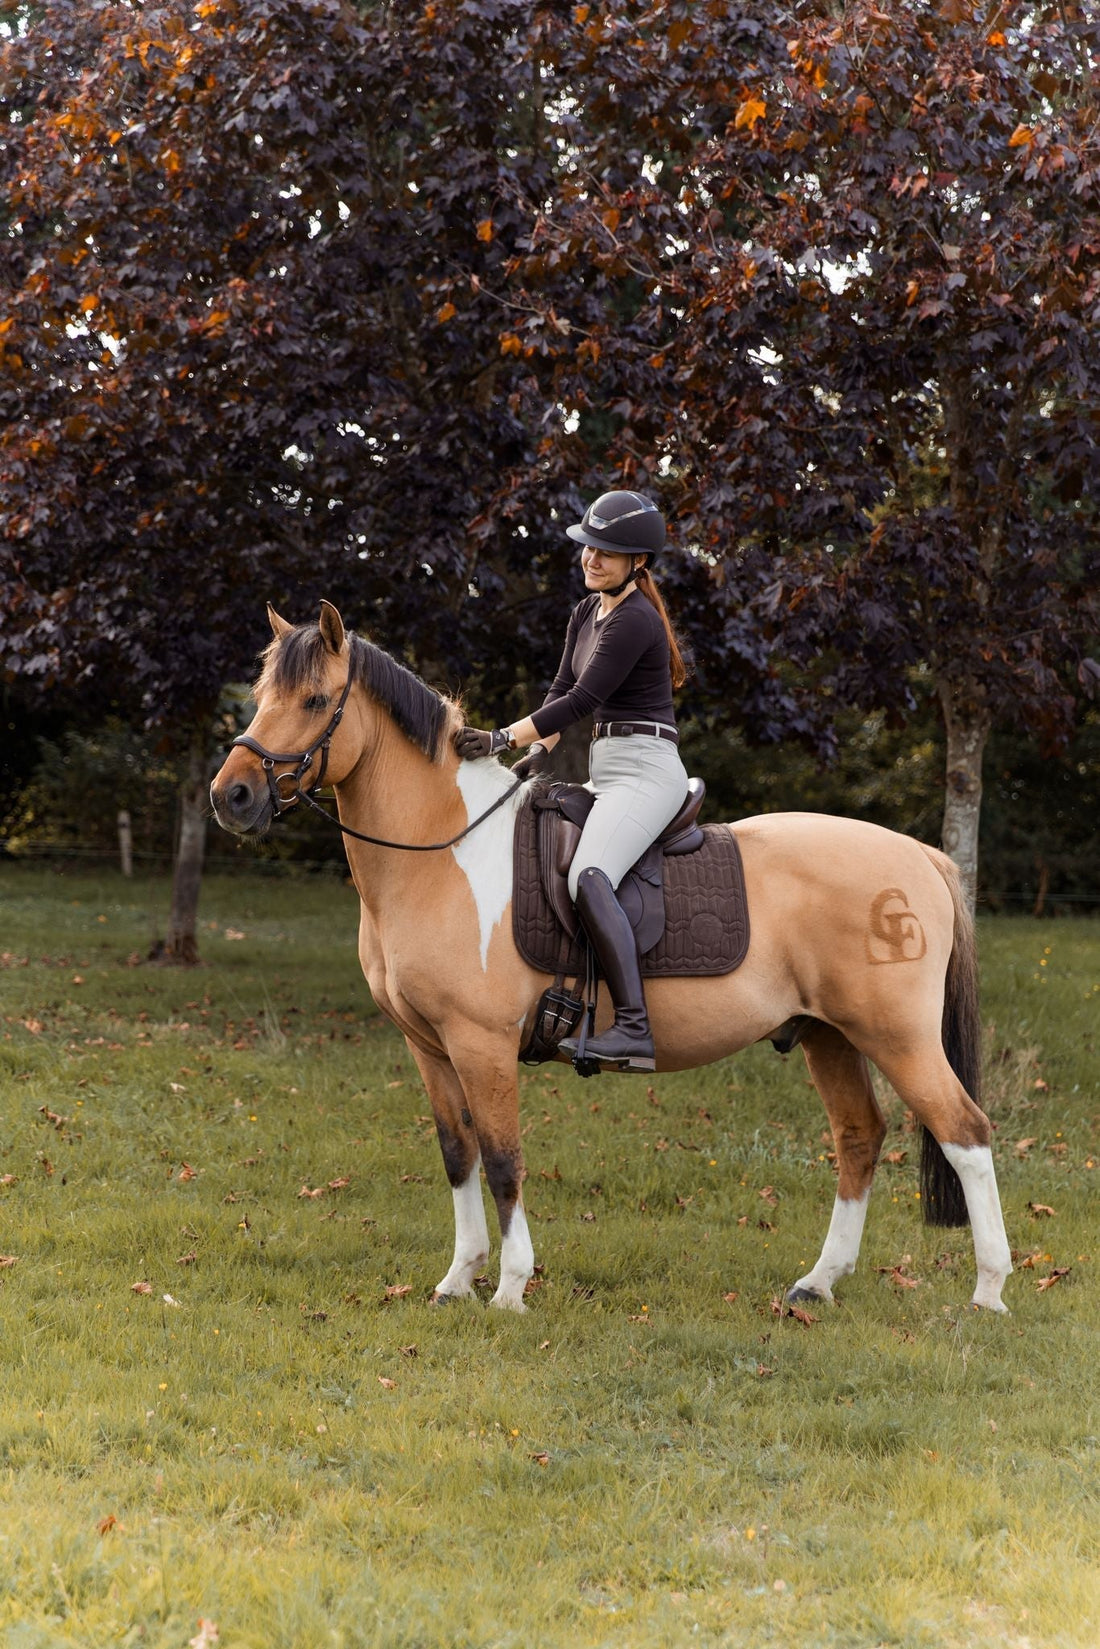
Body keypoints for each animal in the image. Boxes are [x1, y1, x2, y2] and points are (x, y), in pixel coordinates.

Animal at [209, 602, 1012, 1316]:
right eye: (261, 695)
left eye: (315, 699)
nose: (232, 796)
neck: (443, 849)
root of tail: (921, 856)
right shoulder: (429, 1047)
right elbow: (458, 1153)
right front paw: (457, 1279)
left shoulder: (481, 1043)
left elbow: (502, 1159)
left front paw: (509, 1288)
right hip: (830, 1036)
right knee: (859, 1137)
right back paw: (818, 1283)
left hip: (898, 1038)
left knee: (966, 1134)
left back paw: (989, 1292)